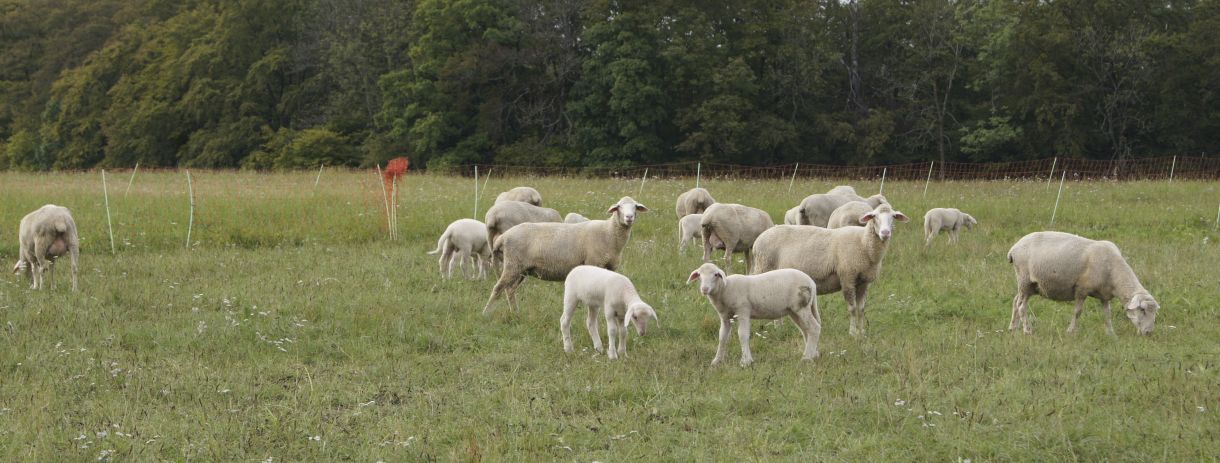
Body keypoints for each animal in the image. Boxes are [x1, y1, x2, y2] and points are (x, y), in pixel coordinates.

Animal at [480, 194, 649, 314]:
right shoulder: (593, 263)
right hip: (512, 265)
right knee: (498, 288)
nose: (629, 217)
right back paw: (486, 313)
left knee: (510, 290)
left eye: (635, 207)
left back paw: (515, 312)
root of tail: (503, 237)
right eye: (619, 207)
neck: (609, 233)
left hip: (522, 269)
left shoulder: (611, 267)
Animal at [688, 264, 819, 365]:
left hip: (801, 306)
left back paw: (806, 358)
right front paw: (717, 361)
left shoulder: (743, 311)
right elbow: (722, 337)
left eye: (715, 275)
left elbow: (742, 335)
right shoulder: (725, 317)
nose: (704, 289)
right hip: (794, 310)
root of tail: (812, 283)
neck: (726, 288)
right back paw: (813, 354)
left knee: (814, 328)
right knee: (805, 330)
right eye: (699, 275)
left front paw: (746, 361)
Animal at [746, 202, 912, 336]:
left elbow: (861, 309)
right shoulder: (847, 277)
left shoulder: (864, 282)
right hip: (764, 267)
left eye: (893, 217)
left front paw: (862, 333)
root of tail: (759, 239)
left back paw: (779, 328)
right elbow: (852, 308)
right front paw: (852, 333)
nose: (885, 233)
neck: (864, 244)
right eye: (874, 217)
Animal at [1005, 231, 1156, 336]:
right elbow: (1077, 312)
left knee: (1015, 301)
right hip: (1025, 279)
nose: (1148, 333)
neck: (1114, 272)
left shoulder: (1104, 294)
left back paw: (1012, 328)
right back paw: (1027, 330)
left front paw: (1111, 334)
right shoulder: (1081, 289)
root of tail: (1014, 248)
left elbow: (1107, 314)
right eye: (1142, 310)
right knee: (1021, 305)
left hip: (1031, 285)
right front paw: (1070, 331)